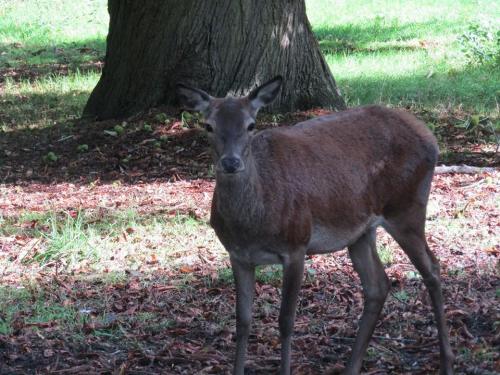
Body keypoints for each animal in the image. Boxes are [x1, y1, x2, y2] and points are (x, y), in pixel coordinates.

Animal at [178, 77, 456, 375]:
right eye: (208, 125)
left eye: (251, 124)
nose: (231, 162)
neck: (253, 225)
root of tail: (431, 137)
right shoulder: (238, 254)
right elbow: (242, 321)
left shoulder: (296, 245)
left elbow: (286, 321)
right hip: (361, 231)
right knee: (378, 284)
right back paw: (351, 367)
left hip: (406, 208)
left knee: (432, 268)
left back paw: (447, 361)